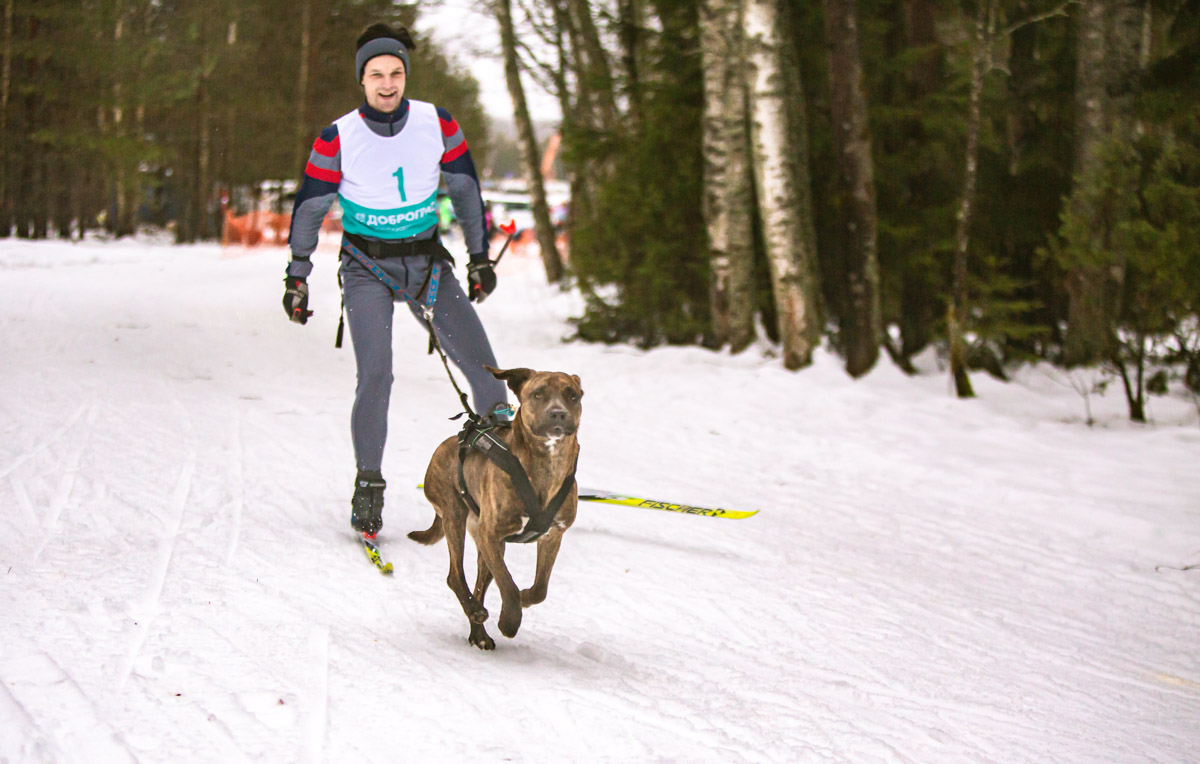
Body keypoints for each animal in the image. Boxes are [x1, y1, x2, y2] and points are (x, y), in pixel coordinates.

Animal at [410, 364, 583, 647]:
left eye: (572, 395)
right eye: (537, 394)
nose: (558, 413)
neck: (547, 465)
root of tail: (446, 444)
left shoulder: (552, 535)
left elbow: (540, 589)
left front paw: (525, 599)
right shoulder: (490, 533)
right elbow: (509, 586)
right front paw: (509, 621)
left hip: (485, 545)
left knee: (480, 585)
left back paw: (478, 634)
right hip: (455, 517)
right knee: (455, 575)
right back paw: (475, 611)